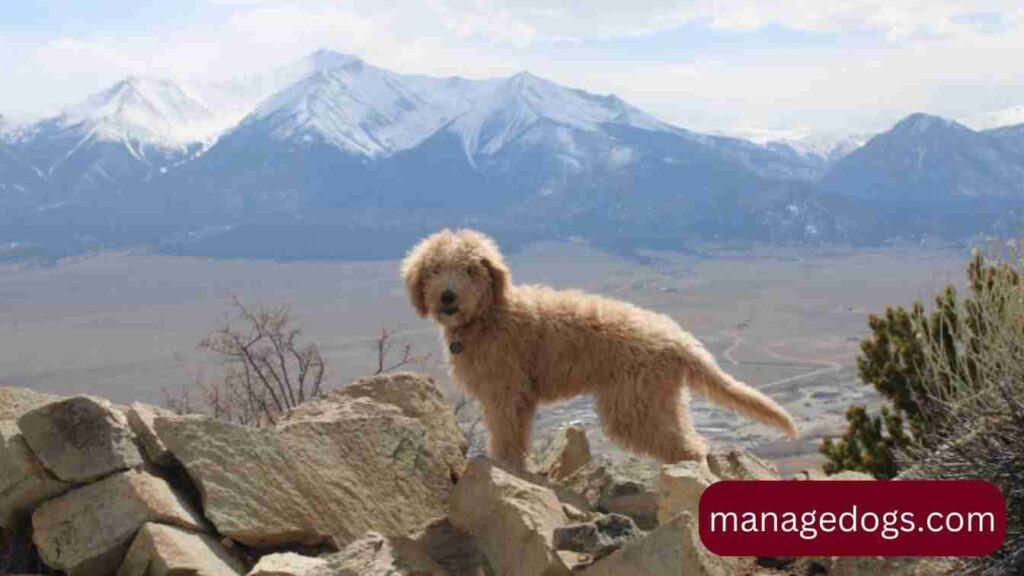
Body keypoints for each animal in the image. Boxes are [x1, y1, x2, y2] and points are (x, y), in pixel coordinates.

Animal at [399, 226, 798, 469]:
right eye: (434, 269)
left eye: (469, 269)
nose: (448, 296)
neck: (490, 314)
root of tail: (678, 338)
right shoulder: (519, 396)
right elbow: (516, 433)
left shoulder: (504, 390)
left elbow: (505, 433)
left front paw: (503, 465)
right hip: (660, 399)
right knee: (688, 437)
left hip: (633, 405)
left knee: (686, 446)